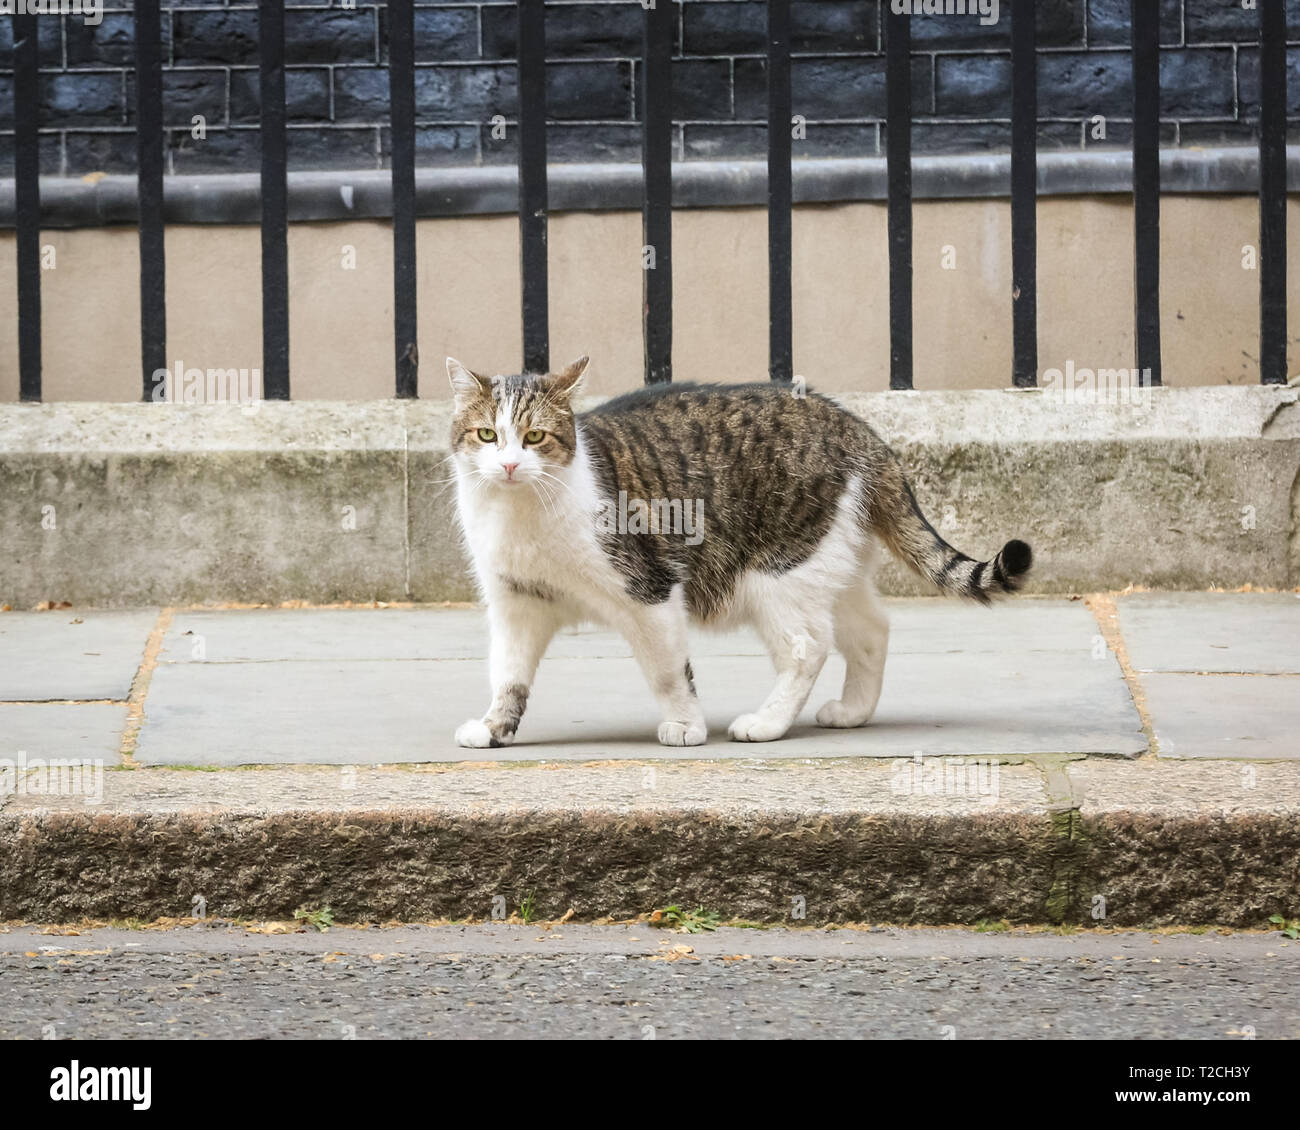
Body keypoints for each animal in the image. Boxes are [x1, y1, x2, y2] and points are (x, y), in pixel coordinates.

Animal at [441, 358, 1029, 748]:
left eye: (535, 436)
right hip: (826, 564)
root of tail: (859, 427)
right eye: (487, 435)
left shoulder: (650, 593)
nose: (509, 465)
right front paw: (495, 727)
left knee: (809, 649)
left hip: (780, 574)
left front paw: (686, 726)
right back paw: (853, 711)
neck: (522, 517)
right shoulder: (517, 604)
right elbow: (508, 674)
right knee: (871, 631)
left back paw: (767, 723)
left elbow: (668, 672)